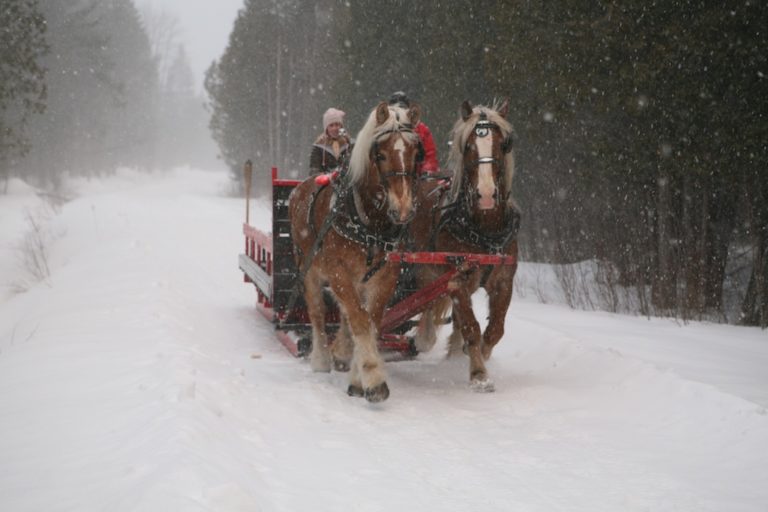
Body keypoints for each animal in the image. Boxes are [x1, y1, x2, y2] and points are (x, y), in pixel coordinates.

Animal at [288, 101, 423, 403]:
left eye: (414, 153)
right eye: (380, 154)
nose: (403, 210)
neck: (369, 222)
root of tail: (302, 185)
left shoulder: (385, 275)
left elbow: (370, 322)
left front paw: (356, 377)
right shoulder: (338, 271)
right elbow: (360, 320)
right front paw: (373, 378)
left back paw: (340, 351)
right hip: (309, 268)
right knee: (317, 312)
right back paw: (321, 358)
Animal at [414, 99, 519, 392]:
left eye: (503, 145)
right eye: (469, 146)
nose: (486, 195)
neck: (484, 228)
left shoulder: (504, 279)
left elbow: (494, 330)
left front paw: (476, 356)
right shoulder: (457, 278)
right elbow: (471, 327)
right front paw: (479, 374)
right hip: (426, 272)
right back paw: (424, 338)